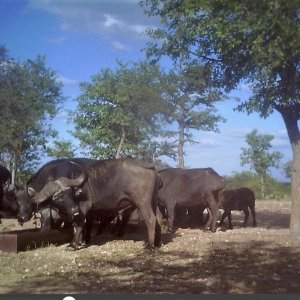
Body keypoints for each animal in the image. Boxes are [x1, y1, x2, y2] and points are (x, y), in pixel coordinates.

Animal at [27, 157, 162, 251]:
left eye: (70, 192)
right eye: (57, 197)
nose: (74, 210)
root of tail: (150, 166)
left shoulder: (83, 207)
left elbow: (79, 224)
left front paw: (73, 244)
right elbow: (85, 226)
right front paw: (83, 241)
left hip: (142, 202)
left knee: (150, 219)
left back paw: (149, 246)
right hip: (153, 201)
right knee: (158, 219)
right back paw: (156, 243)